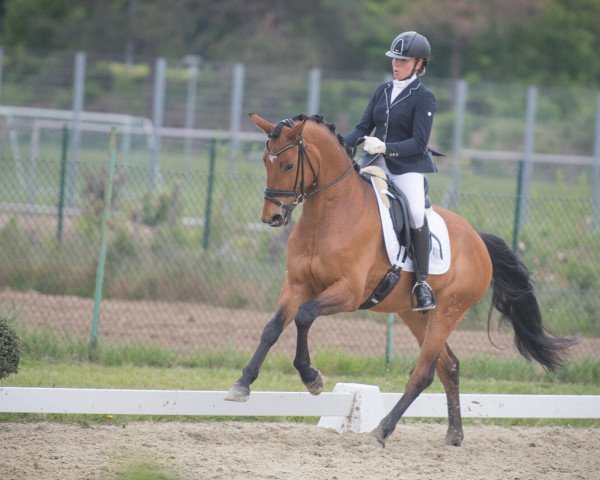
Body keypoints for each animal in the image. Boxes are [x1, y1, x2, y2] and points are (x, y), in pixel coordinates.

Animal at [225, 112, 576, 446]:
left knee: (424, 372)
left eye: (287, 164)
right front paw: (242, 385)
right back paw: (454, 434)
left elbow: (304, 315)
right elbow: (272, 327)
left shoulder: (348, 292)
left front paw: (312, 378)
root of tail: (477, 239)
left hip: (448, 312)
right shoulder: (297, 284)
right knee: (448, 366)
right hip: (415, 314)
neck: (328, 216)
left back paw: (381, 431)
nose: (272, 217)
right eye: (264, 161)